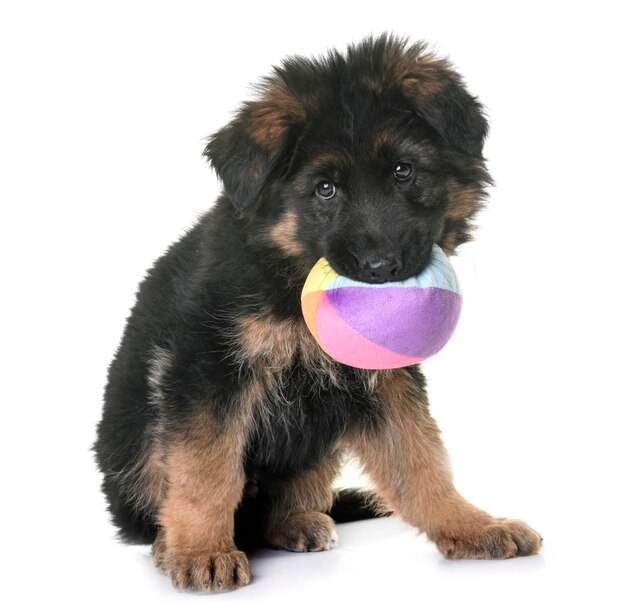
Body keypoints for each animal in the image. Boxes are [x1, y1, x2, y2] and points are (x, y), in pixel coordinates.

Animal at [94, 33, 540, 592]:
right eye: (325, 189)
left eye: (403, 171)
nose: (382, 268)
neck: (289, 273)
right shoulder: (207, 371)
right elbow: (206, 469)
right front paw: (200, 549)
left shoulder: (382, 381)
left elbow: (420, 461)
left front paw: (471, 526)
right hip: (135, 434)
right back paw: (169, 542)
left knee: (278, 508)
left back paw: (297, 522)